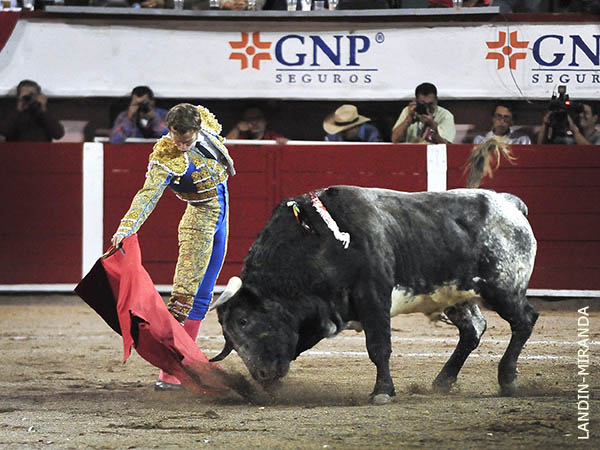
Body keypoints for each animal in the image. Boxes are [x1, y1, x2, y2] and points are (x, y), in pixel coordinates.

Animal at [210, 185, 538, 404]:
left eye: (243, 321)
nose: (262, 375)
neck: (320, 242)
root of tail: (509, 204)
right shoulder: (323, 312)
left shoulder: (374, 297)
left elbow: (379, 346)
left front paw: (382, 391)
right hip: (456, 295)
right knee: (473, 329)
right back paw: (443, 381)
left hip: (502, 288)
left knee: (525, 320)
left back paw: (507, 379)